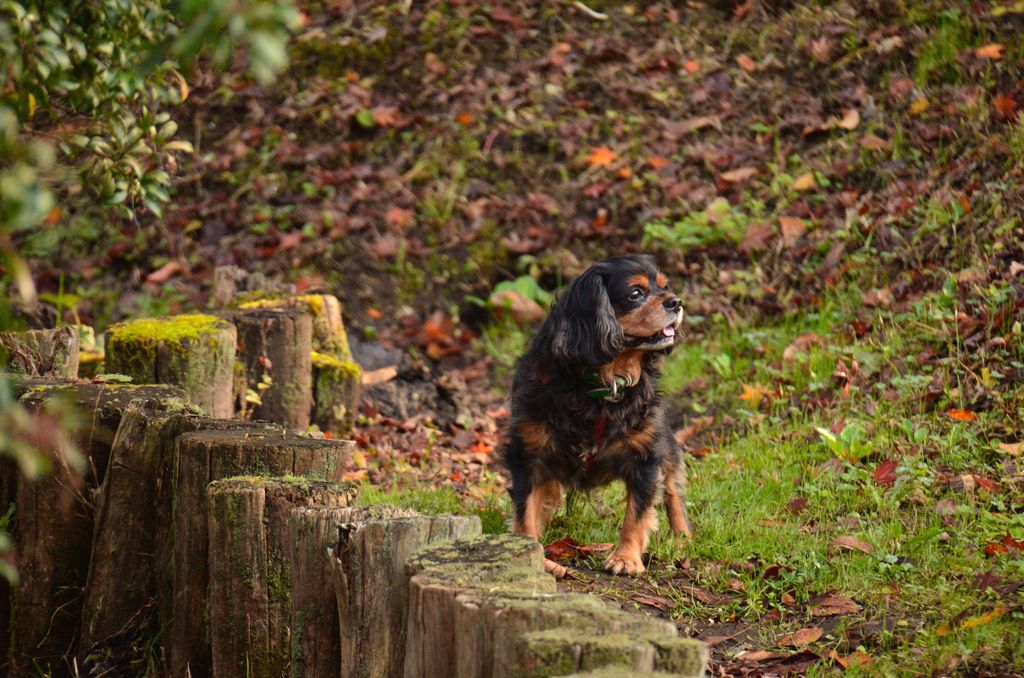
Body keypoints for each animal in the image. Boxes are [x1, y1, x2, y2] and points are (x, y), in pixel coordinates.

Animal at [499, 255, 692, 577]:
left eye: (665, 287)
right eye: (635, 294)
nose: (676, 302)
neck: (603, 381)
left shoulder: (646, 456)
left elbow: (637, 512)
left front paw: (626, 558)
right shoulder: (529, 454)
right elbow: (525, 511)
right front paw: (531, 555)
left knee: (673, 488)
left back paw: (682, 540)